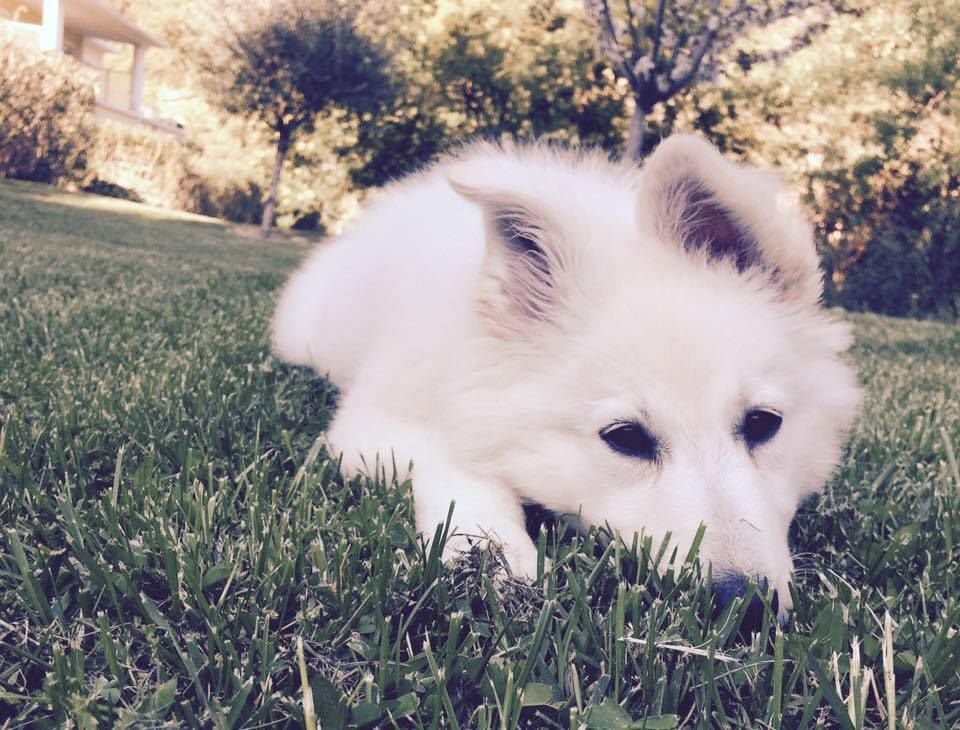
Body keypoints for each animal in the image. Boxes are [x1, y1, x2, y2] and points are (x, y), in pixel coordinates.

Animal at [271, 135, 861, 618]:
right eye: (625, 438)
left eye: (763, 424)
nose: (746, 608)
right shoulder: (367, 425)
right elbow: (454, 464)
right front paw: (492, 554)